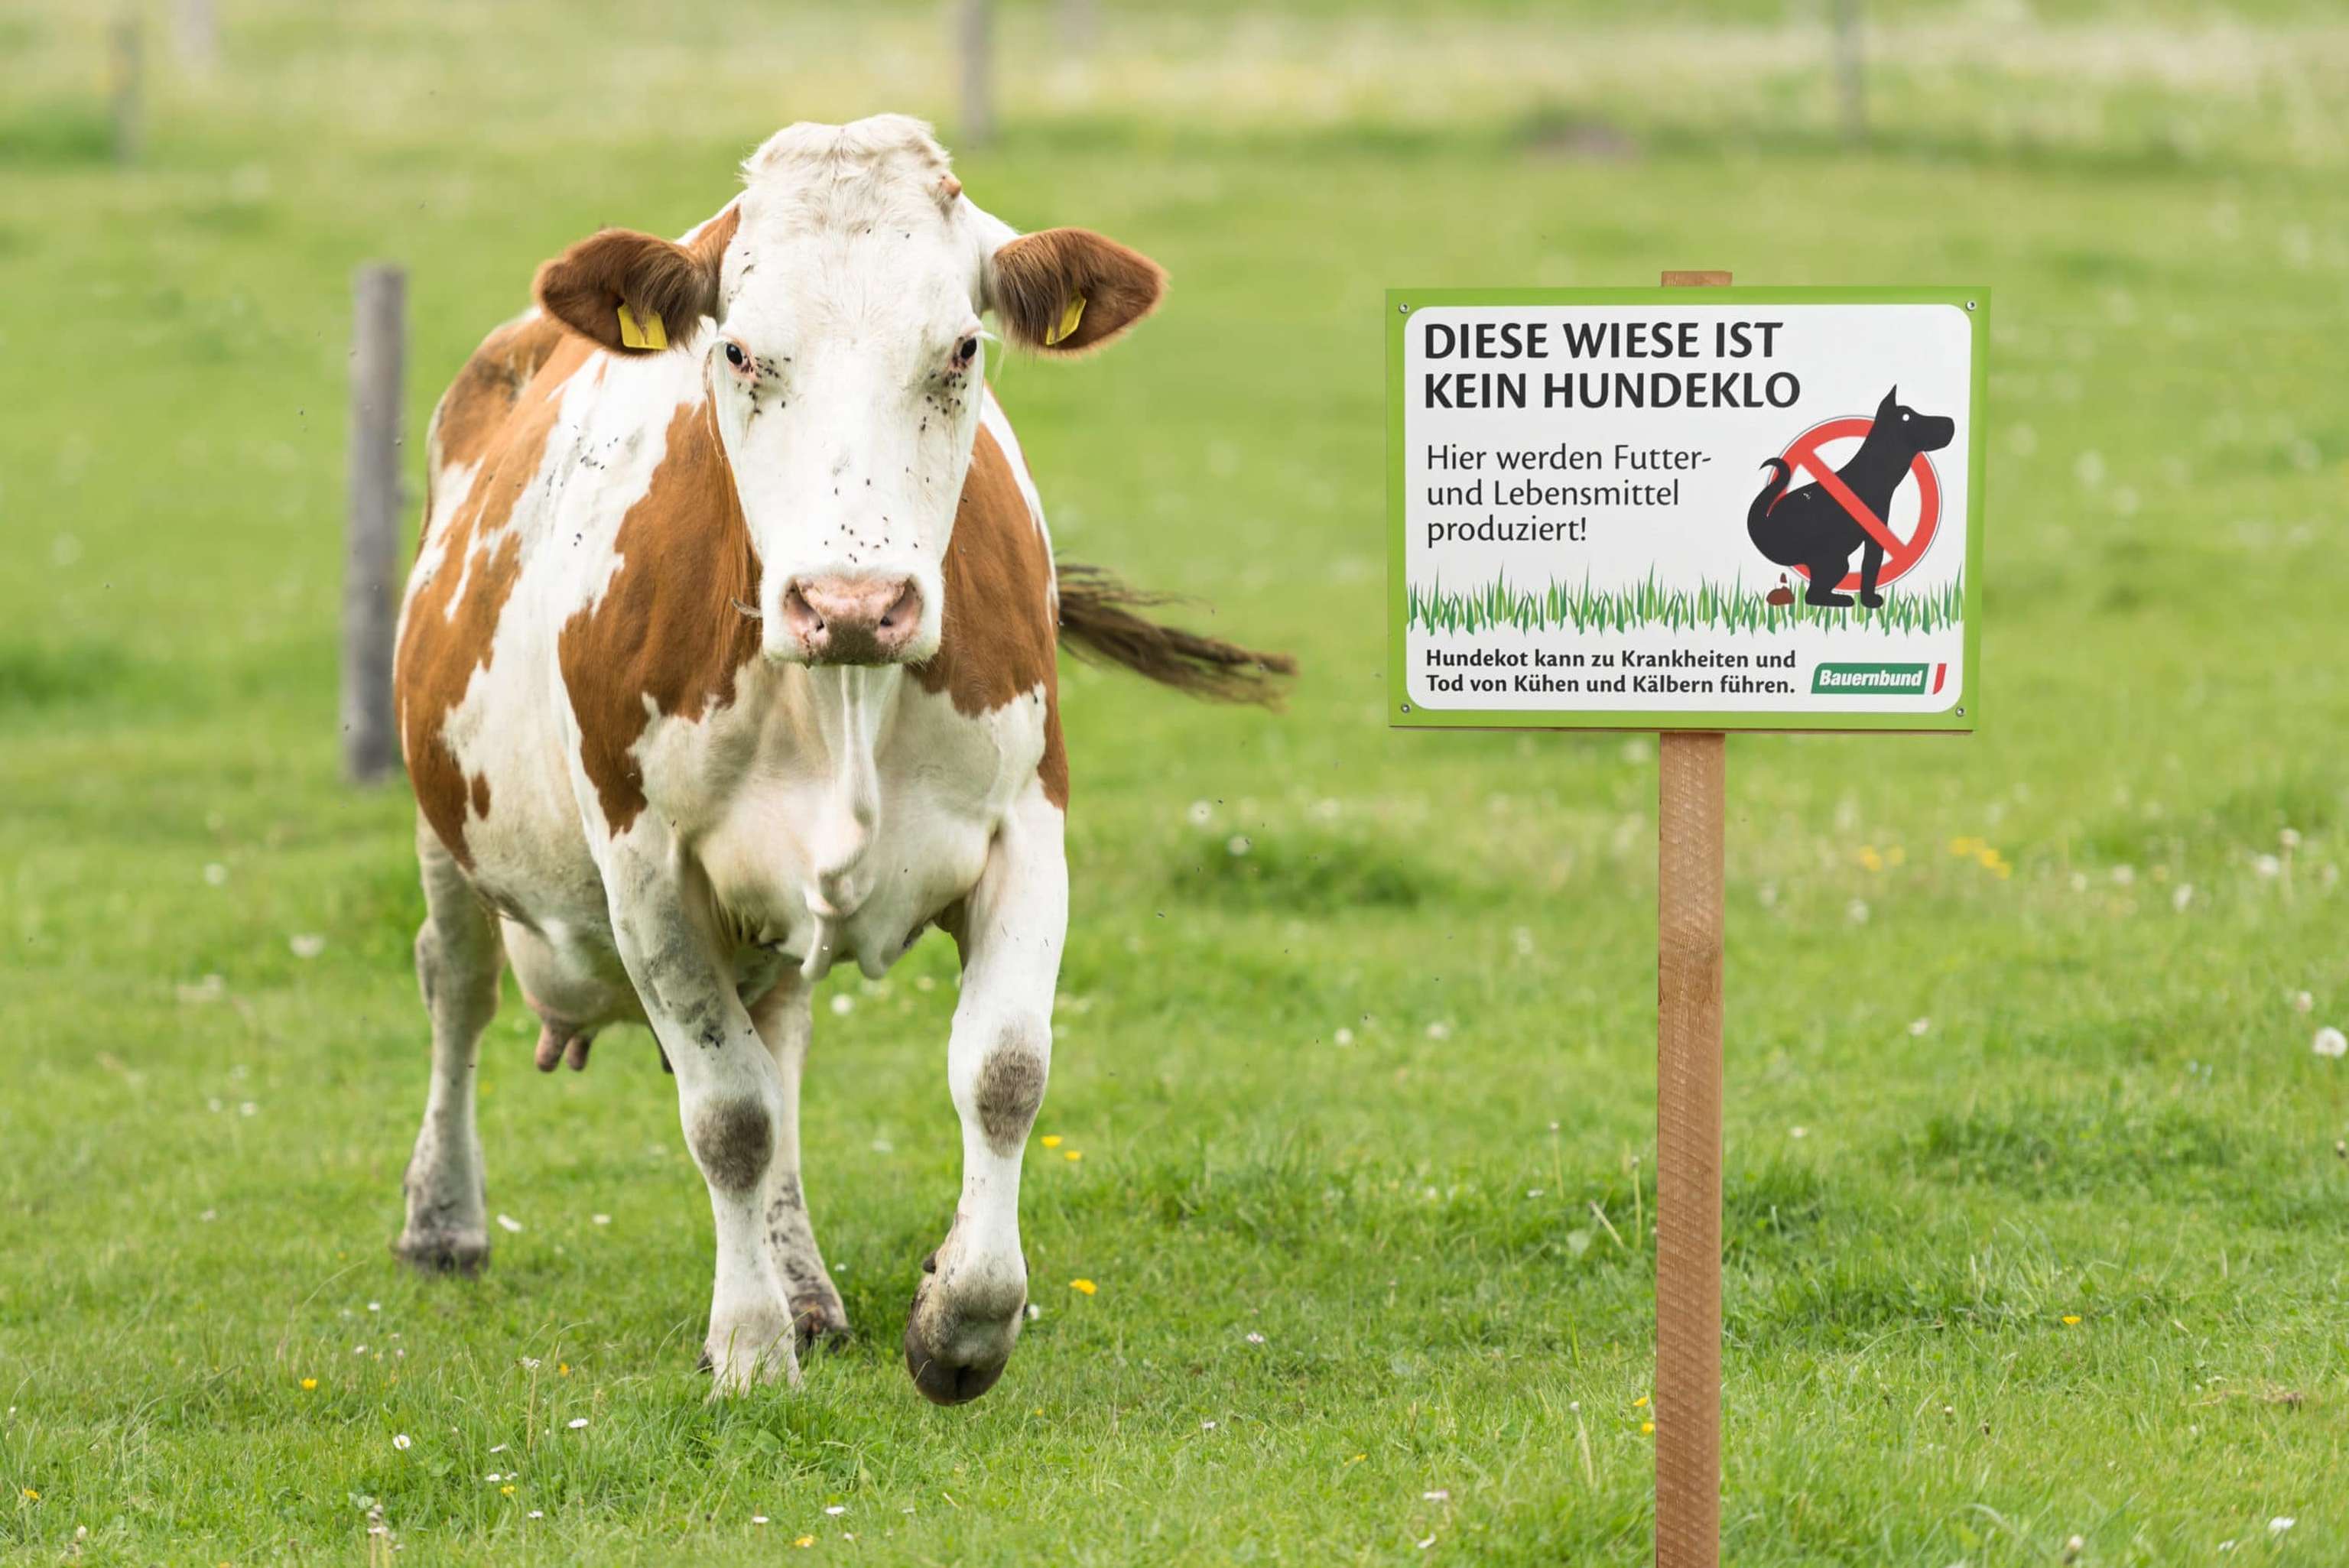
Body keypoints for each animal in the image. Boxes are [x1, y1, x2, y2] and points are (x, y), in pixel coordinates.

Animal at [387, 115, 1289, 1405]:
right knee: (456, 982)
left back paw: (807, 1280)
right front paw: (750, 1348)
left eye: (961, 345)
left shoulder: (1029, 828)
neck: (844, 698)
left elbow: (1002, 1071)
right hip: (445, 822)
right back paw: (446, 1220)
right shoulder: (646, 868)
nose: (852, 601)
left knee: (780, 1038)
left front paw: (961, 1320)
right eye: (739, 350)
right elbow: (728, 1117)